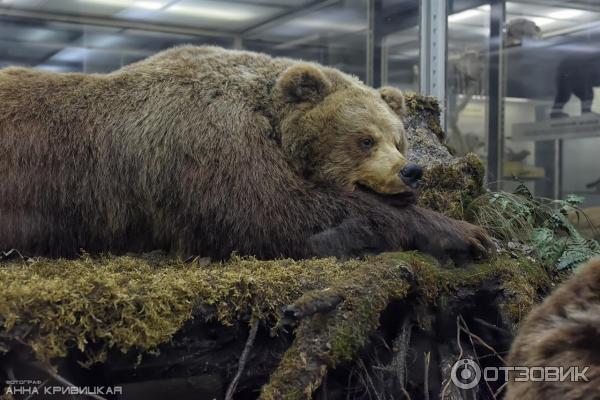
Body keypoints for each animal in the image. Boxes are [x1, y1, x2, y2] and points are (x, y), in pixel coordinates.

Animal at [0, 45, 492, 260]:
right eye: (364, 138)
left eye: (398, 138)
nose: (411, 171)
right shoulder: (205, 139)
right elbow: (268, 214)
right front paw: (462, 231)